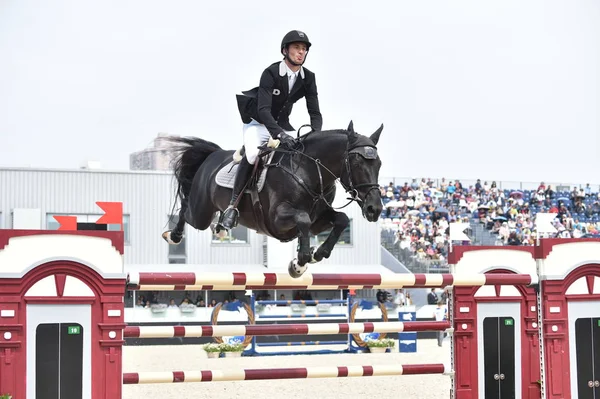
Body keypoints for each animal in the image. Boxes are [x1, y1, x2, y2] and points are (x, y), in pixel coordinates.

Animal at [161, 122, 384, 278]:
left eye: (379, 164)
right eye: (356, 162)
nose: (375, 209)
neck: (309, 172)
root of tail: (212, 155)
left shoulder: (317, 220)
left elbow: (341, 219)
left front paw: (316, 254)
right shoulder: (278, 219)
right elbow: (302, 218)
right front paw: (300, 262)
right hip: (201, 212)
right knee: (185, 209)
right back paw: (174, 235)